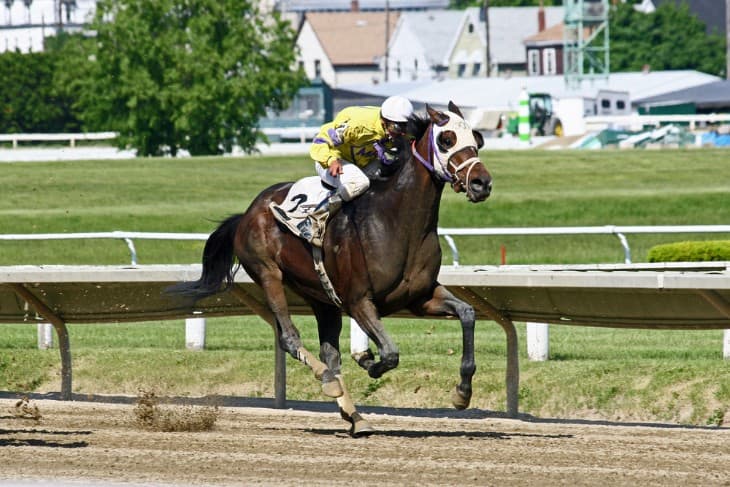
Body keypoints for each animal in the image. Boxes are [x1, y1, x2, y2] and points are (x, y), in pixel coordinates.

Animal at [168, 101, 492, 436]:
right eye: (446, 139)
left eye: (477, 139)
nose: (481, 183)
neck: (397, 222)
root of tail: (247, 213)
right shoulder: (359, 301)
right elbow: (390, 353)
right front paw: (367, 359)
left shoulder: (420, 297)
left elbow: (467, 313)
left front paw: (462, 393)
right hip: (268, 273)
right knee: (290, 338)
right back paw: (329, 383)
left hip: (323, 298)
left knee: (330, 354)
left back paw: (355, 416)